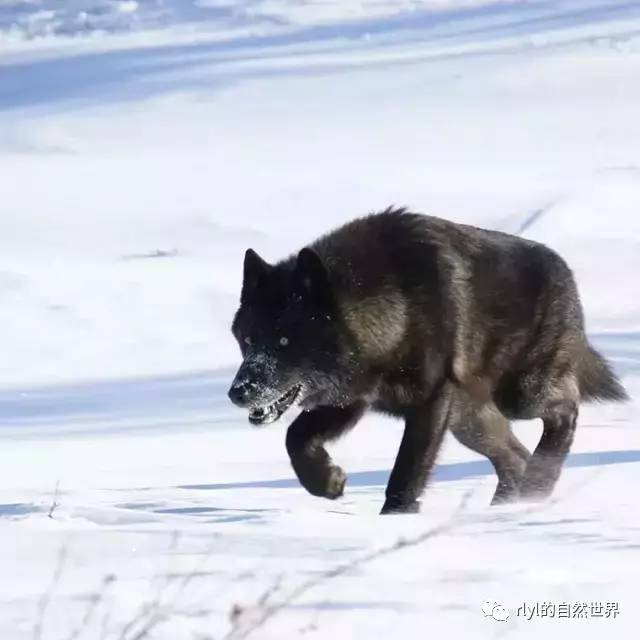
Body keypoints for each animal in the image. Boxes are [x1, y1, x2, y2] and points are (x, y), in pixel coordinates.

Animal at [228, 209, 628, 516]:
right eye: (248, 340)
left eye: (284, 341)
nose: (239, 392)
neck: (397, 309)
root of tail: (565, 270)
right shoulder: (351, 399)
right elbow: (295, 438)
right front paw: (327, 482)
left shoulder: (430, 403)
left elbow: (407, 470)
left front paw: (395, 519)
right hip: (470, 421)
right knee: (515, 457)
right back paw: (509, 508)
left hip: (519, 397)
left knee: (566, 410)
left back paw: (537, 488)